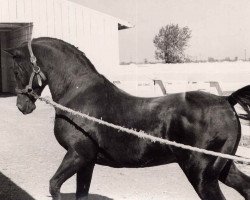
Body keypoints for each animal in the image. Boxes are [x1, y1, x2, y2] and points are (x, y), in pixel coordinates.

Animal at [3, 37, 250, 198]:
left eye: (16, 70)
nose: (22, 106)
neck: (78, 95)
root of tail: (227, 100)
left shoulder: (78, 154)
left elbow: (54, 186)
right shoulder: (87, 161)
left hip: (201, 175)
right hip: (223, 169)